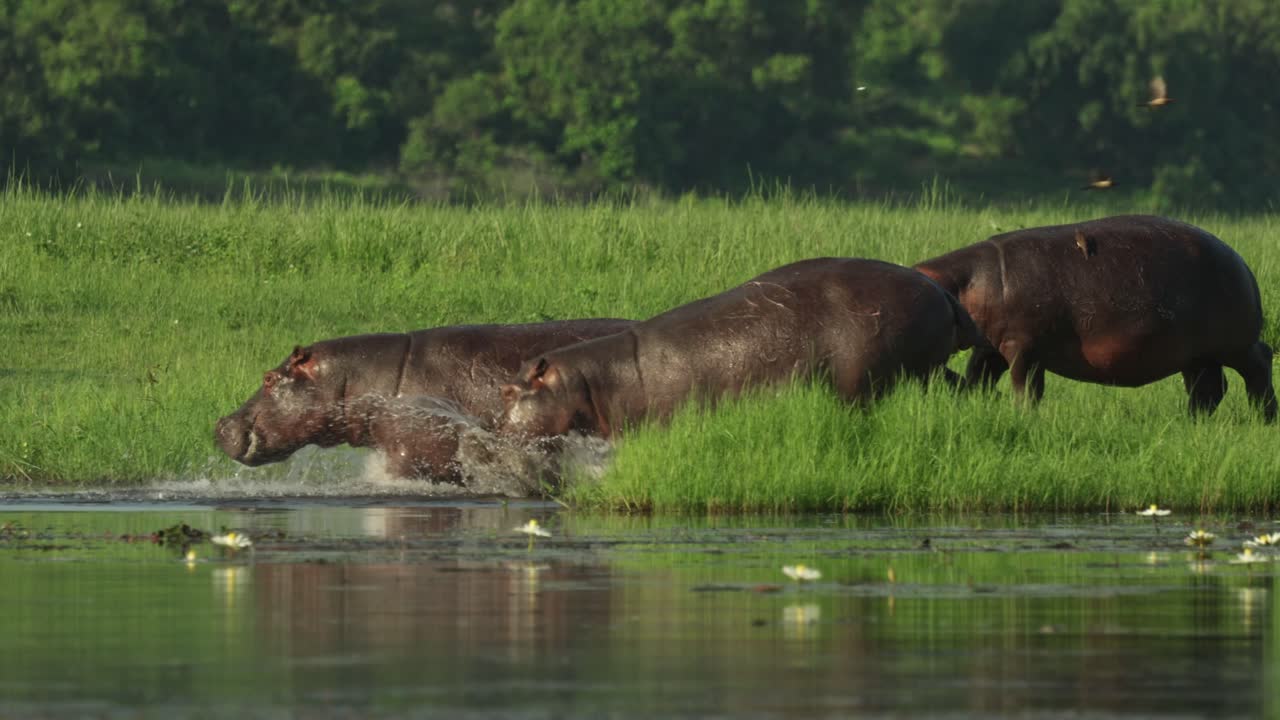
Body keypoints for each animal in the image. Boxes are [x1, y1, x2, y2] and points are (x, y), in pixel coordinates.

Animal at [498, 258, 981, 440]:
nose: (493, 438)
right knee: (961, 388)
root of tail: (943, 292)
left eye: (509, 391)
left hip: (890, 373)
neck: (596, 379)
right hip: (933, 367)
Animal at [913, 214, 1277, 420]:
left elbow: (1025, 387)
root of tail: (1239, 260)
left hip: (1233, 343)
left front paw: (1022, 416)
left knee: (1258, 365)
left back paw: (1265, 417)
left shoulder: (1022, 347)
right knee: (1208, 389)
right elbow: (979, 378)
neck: (961, 282)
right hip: (1197, 354)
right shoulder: (991, 346)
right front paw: (977, 405)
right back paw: (1192, 422)